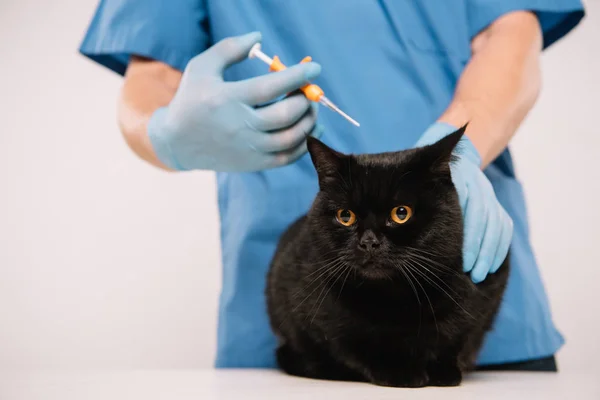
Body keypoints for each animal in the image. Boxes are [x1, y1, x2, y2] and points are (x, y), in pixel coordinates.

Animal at [264, 126, 508, 388]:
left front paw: (443, 371)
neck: (396, 297)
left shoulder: (487, 290)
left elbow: (456, 339)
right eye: (345, 216)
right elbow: (354, 345)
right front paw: (399, 371)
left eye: (401, 213)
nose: (369, 242)